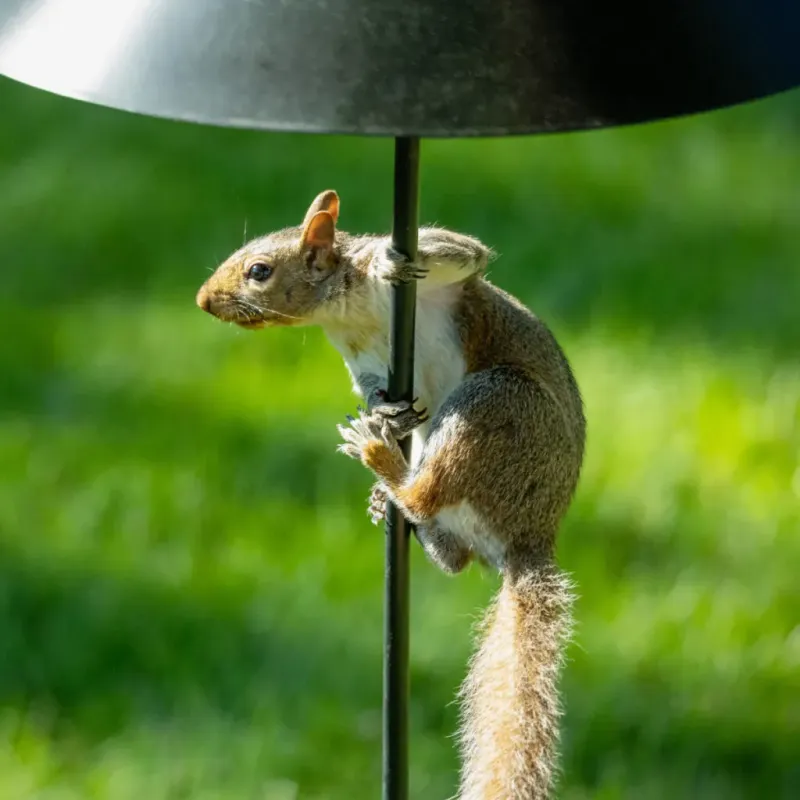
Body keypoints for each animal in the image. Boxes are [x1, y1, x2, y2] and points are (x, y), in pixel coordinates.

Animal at [196, 190, 586, 800]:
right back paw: (395, 500)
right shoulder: (365, 361)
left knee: (431, 492)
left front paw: (386, 261)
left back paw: (384, 464)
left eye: (259, 271)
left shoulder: (446, 282)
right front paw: (384, 409)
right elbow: (376, 389)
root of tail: (530, 538)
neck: (345, 313)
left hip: (495, 404)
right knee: (453, 551)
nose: (203, 300)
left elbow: (463, 252)